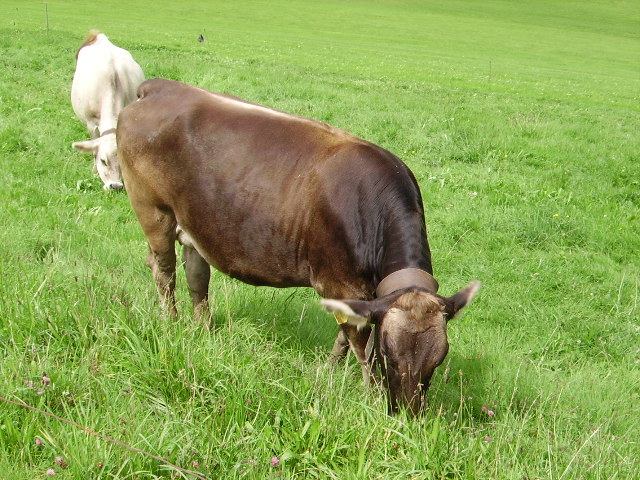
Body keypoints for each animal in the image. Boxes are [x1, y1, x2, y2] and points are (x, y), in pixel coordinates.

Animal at [117, 79, 480, 416]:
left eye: (438, 359)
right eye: (389, 355)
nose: (407, 412)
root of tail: (161, 86)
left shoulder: (356, 293)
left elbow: (343, 340)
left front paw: (330, 372)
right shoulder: (340, 283)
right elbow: (360, 348)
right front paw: (372, 398)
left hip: (194, 223)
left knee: (196, 276)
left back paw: (203, 329)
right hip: (154, 211)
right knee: (164, 271)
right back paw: (170, 323)